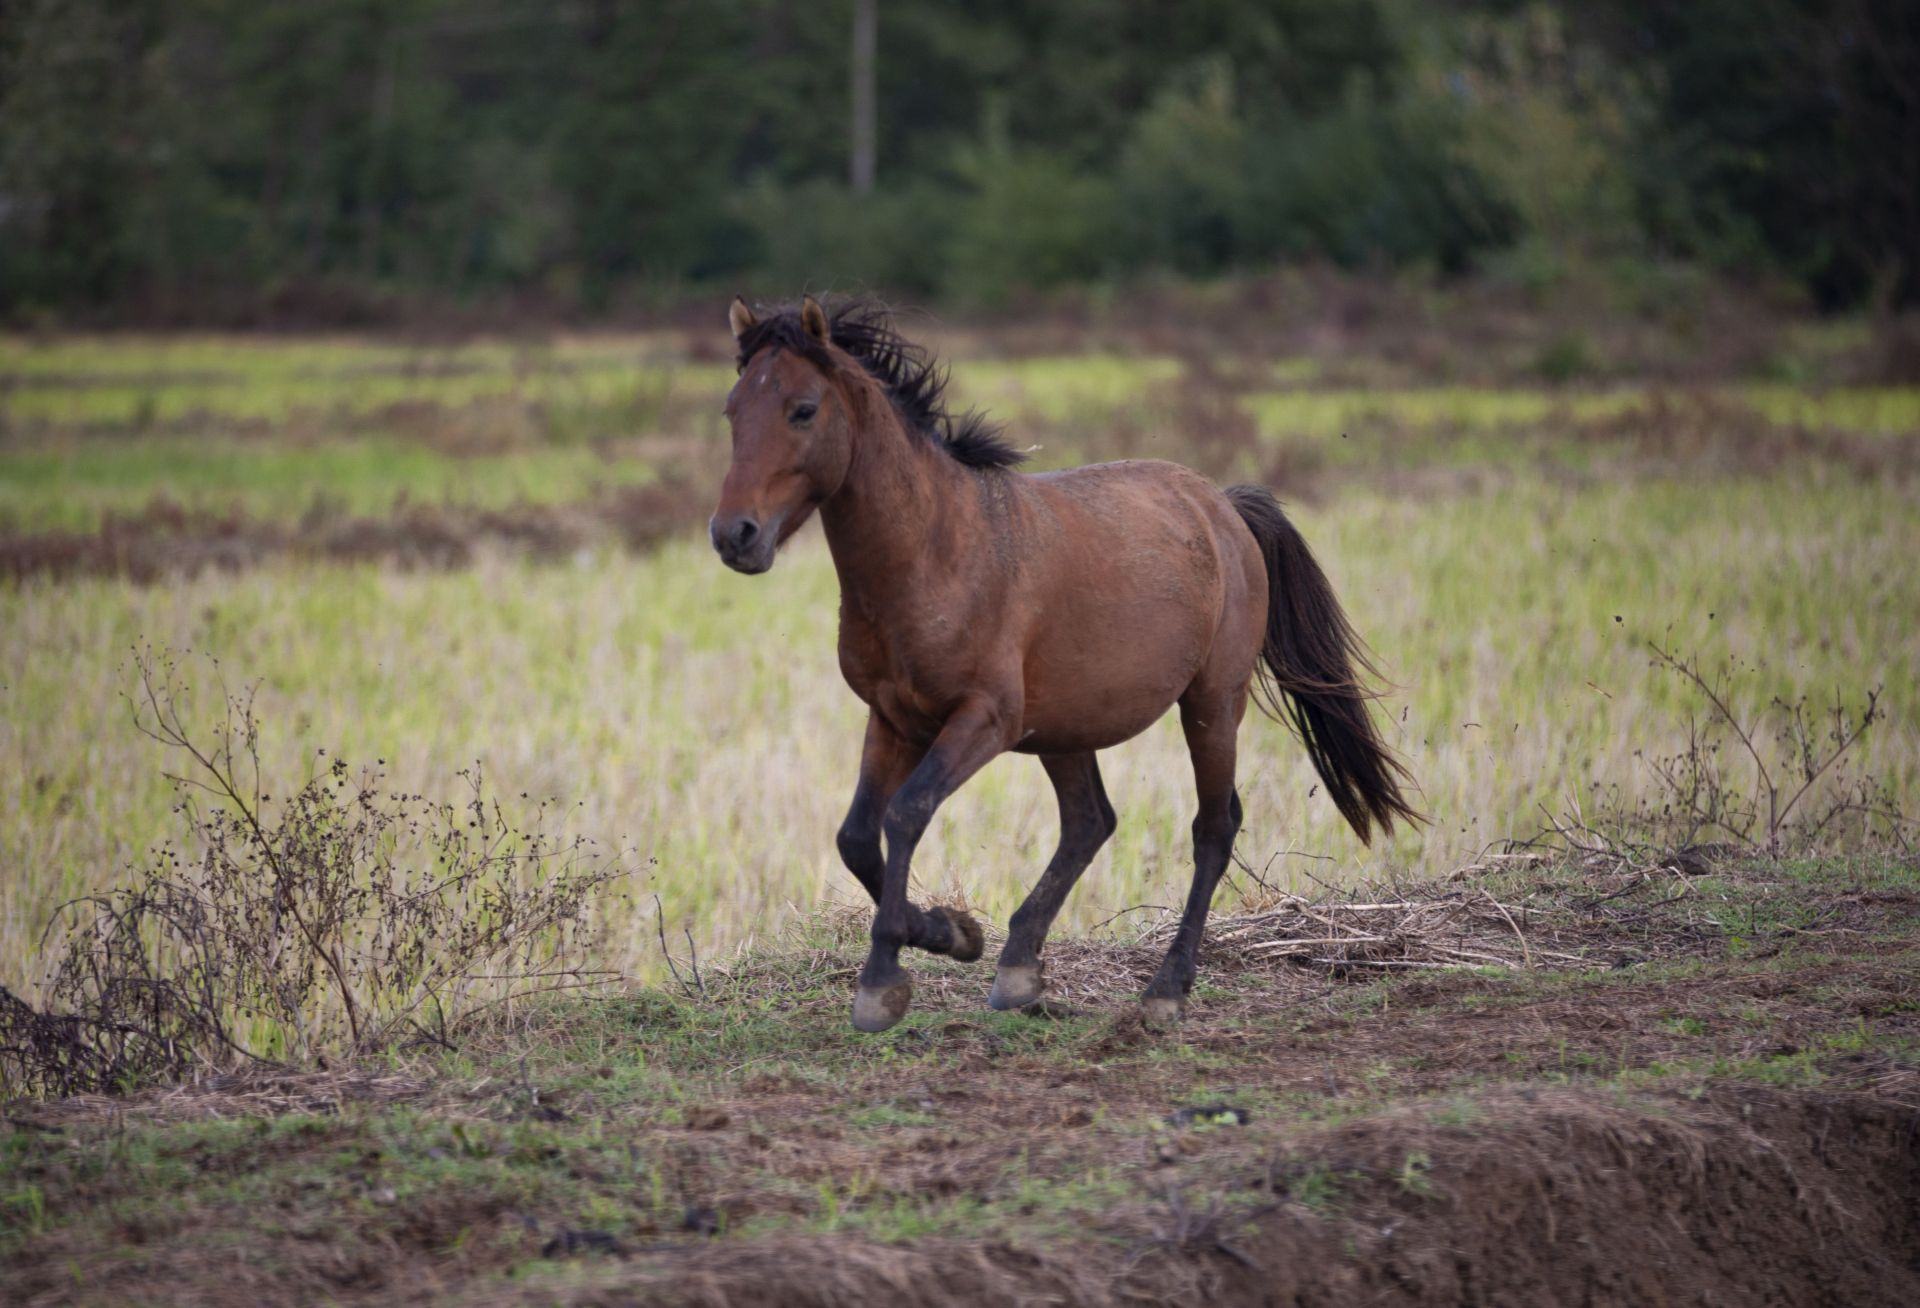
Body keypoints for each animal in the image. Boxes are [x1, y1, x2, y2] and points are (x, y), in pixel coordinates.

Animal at [714, 295, 1420, 1029]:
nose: (735, 536)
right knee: (1090, 821)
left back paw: (1166, 987)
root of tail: (1223, 506)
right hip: (1065, 725)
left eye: (802, 409)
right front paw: (953, 932)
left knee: (1213, 825)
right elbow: (856, 836)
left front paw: (884, 982)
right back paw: (1019, 967)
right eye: (732, 410)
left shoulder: (983, 720)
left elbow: (905, 814)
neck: (936, 550)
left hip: (1210, 703)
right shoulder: (892, 718)